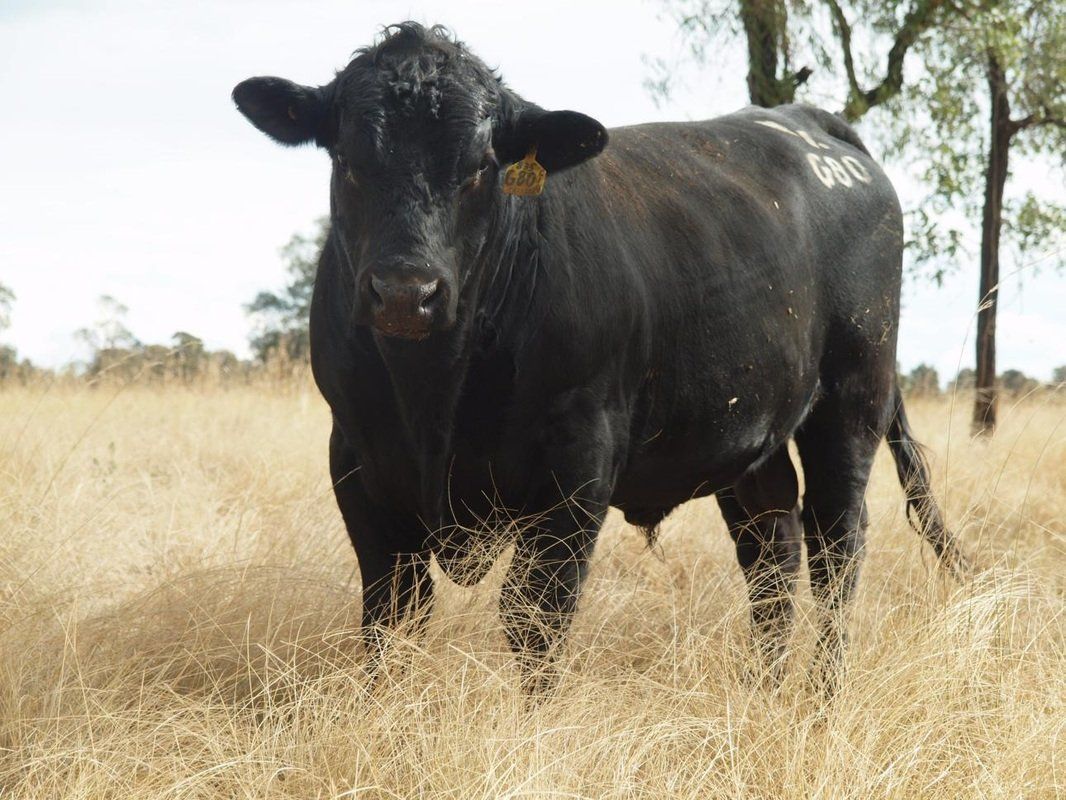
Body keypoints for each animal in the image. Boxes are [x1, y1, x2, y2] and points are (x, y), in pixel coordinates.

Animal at [233, 22, 966, 690]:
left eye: (480, 167)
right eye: (346, 159)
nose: (405, 293)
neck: (433, 393)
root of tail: (807, 124)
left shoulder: (579, 460)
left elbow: (535, 617)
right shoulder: (357, 461)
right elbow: (390, 615)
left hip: (852, 395)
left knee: (837, 545)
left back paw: (821, 694)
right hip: (751, 431)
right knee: (772, 550)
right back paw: (766, 686)